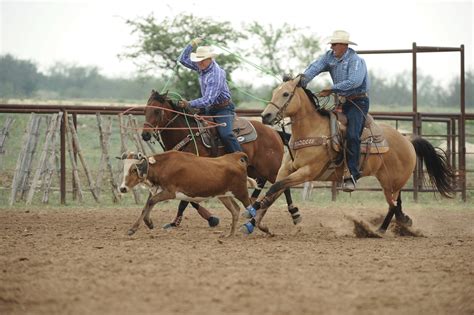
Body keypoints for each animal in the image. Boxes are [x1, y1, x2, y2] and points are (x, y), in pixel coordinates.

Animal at [120, 151, 258, 237]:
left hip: (241, 192)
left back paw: (257, 228)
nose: (122, 188)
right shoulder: (157, 190)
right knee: (235, 210)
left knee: (252, 209)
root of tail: (235, 157)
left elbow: (151, 201)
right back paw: (230, 234)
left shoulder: (170, 192)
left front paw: (135, 228)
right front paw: (146, 223)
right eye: (124, 169)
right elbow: (147, 205)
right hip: (224, 196)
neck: (163, 166)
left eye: (134, 169)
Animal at [139, 90, 298, 231]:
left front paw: (210, 219)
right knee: (264, 183)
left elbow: (186, 200)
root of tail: (273, 131)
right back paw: (253, 207)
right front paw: (178, 221)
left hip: (271, 167)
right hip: (255, 168)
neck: (188, 134)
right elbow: (189, 200)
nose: (145, 135)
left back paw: (294, 213)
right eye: (146, 110)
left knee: (282, 185)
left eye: (157, 111)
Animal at [243, 75, 458, 236]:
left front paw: (254, 210)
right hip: (389, 181)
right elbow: (276, 191)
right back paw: (386, 227)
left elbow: (275, 188)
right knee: (395, 204)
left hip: (392, 181)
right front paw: (255, 222)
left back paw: (383, 229)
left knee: (394, 204)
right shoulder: (286, 170)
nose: (266, 116)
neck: (312, 131)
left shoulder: (307, 172)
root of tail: (408, 140)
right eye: (274, 92)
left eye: (286, 93)